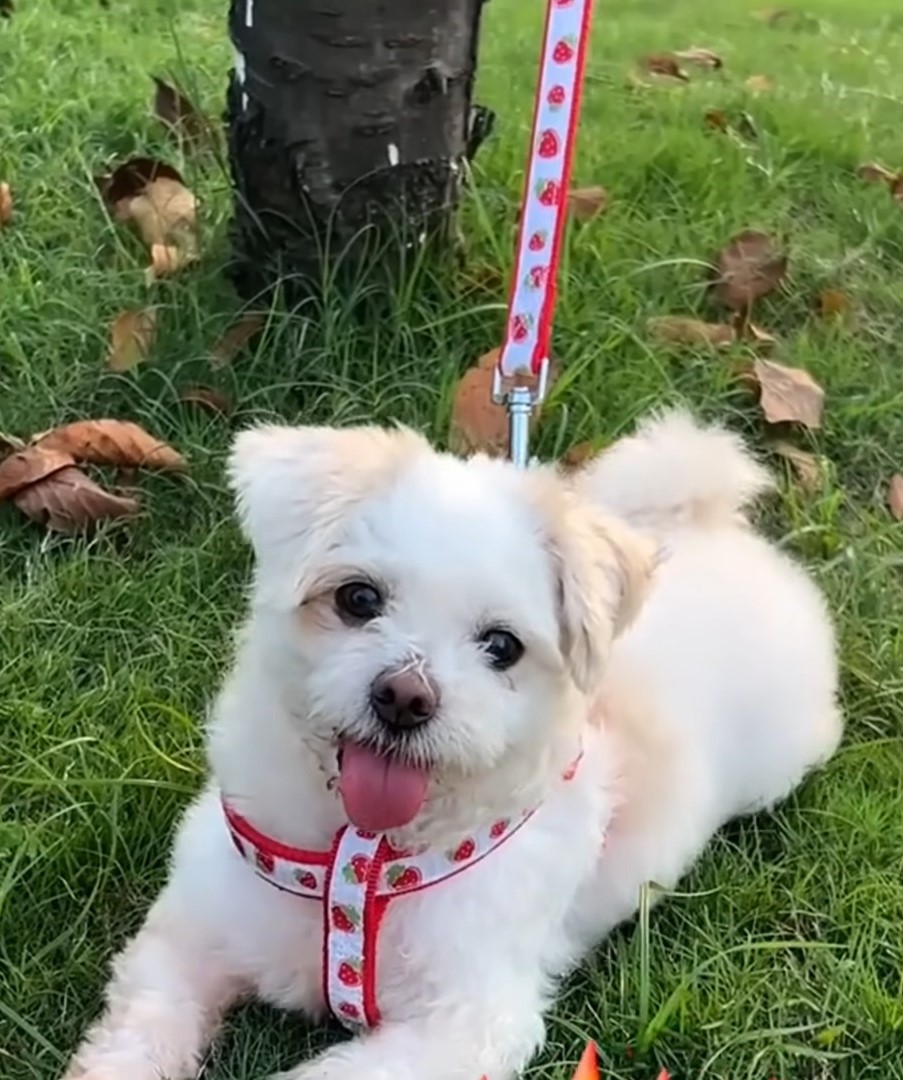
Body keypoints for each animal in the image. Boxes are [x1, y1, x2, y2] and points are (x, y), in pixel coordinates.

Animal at [63, 408, 838, 1075]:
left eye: (502, 646)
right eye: (357, 598)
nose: (405, 696)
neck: (360, 855)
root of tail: (712, 521)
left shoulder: (467, 1024)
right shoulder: (188, 934)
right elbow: (137, 1036)